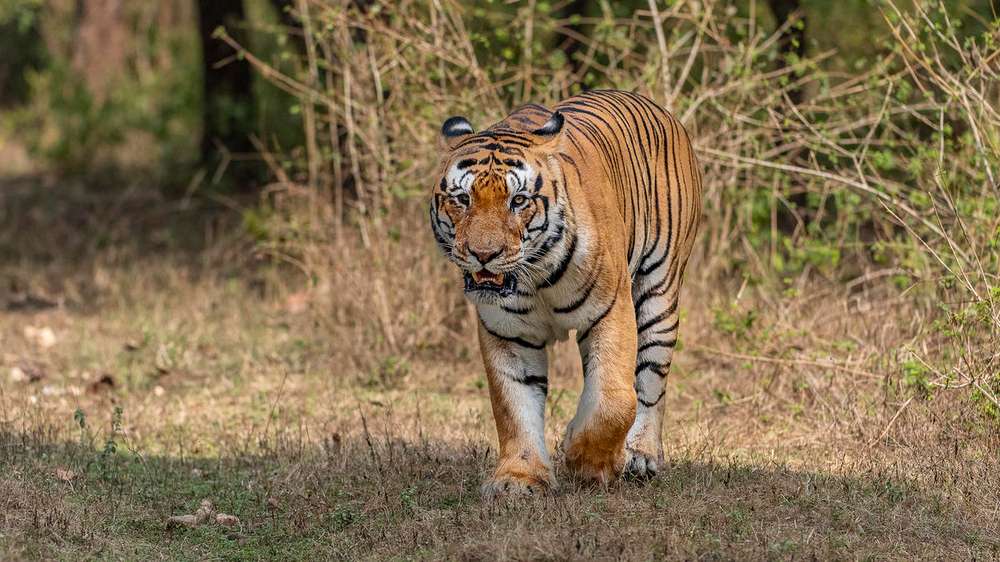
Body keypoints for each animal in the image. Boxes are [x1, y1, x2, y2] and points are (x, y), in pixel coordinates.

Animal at [429, 89, 702, 496]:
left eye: (518, 201)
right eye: (463, 199)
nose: (484, 254)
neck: (535, 274)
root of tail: (658, 109)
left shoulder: (611, 311)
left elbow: (615, 399)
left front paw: (585, 460)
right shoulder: (508, 333)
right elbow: (514, 405)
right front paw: (519, 478)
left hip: (660, 296)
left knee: (651, 381)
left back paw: (640, 456)